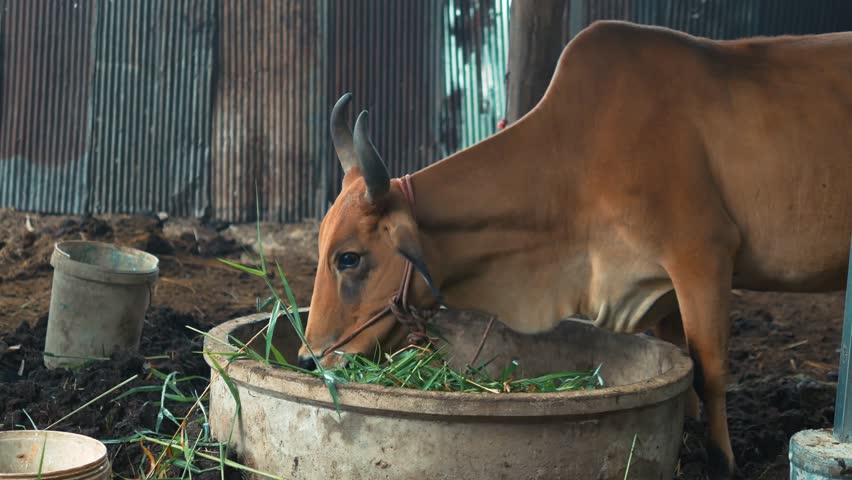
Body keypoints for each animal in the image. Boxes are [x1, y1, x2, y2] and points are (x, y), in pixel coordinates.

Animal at [299, 20, 852, 479]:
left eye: (348, 257)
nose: (308, 358)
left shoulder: (704, 257)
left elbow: (710, 371)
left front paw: (723, 464)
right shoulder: (661, 287)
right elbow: (685, 366)